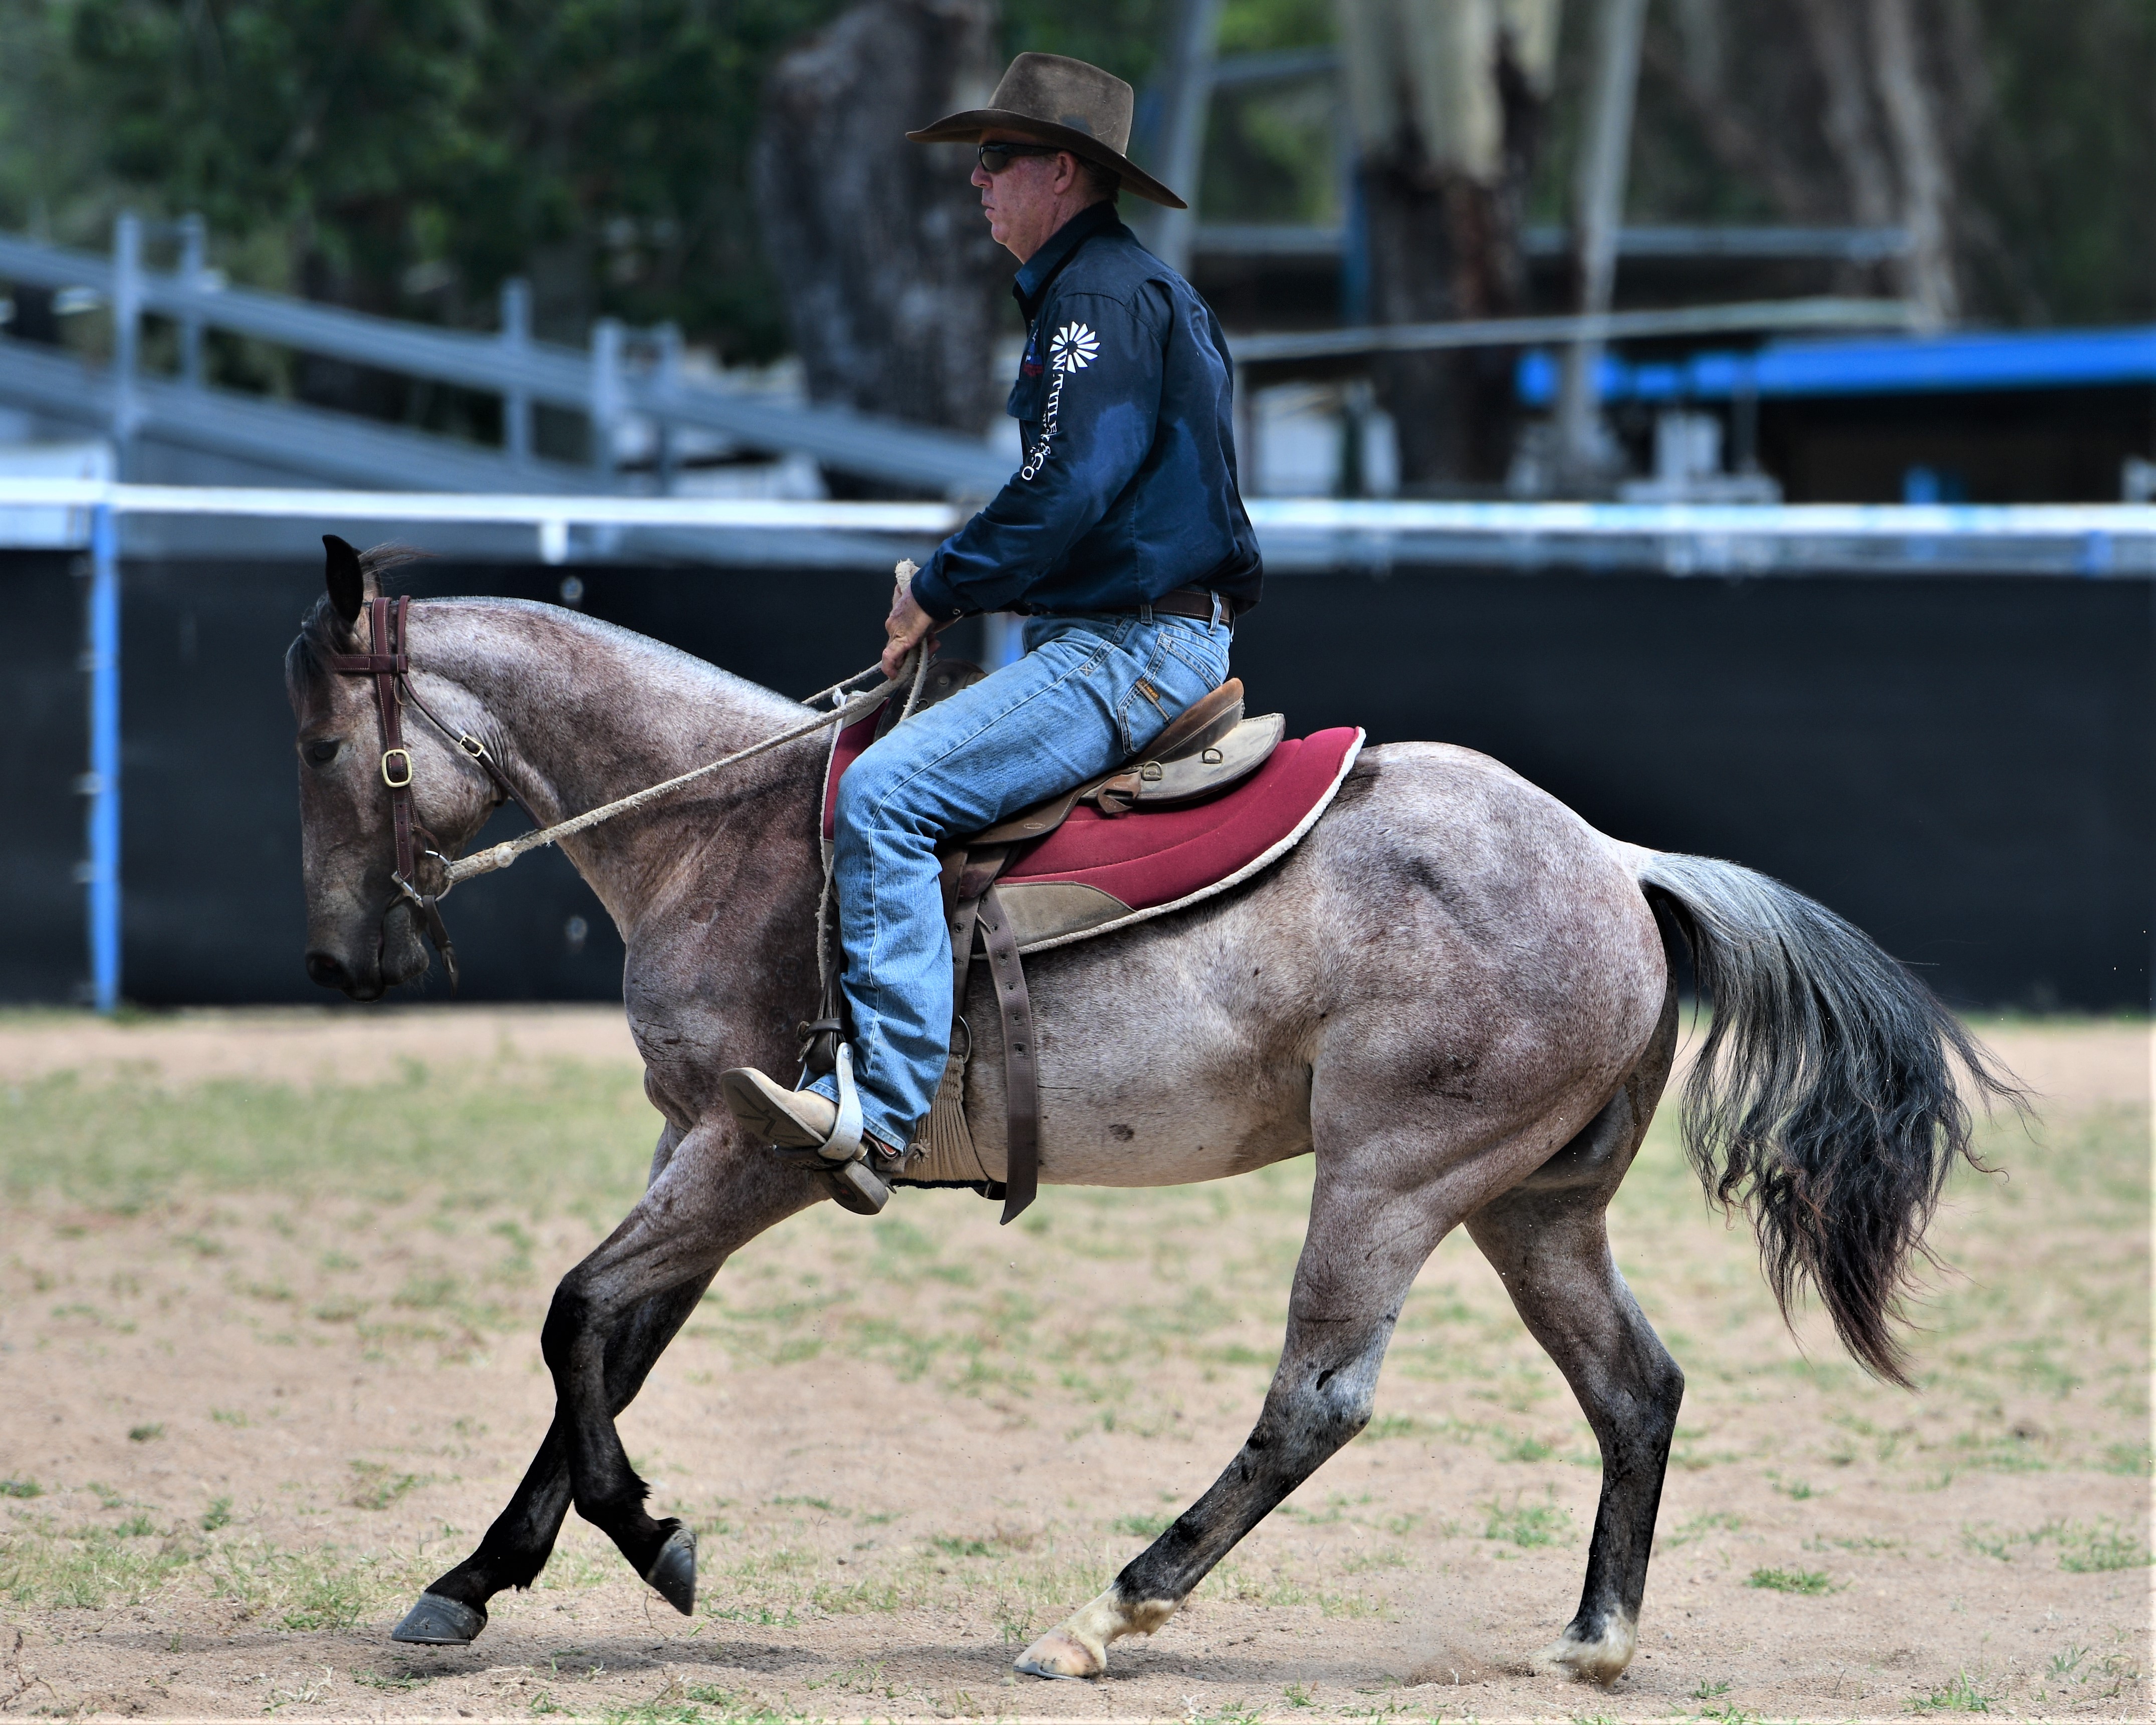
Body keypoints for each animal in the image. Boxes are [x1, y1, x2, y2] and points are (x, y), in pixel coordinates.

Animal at [285, 541, 2012, 1685]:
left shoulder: (756, 1149)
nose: (339, 959)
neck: (731, 830)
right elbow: (612, 1344)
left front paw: (651, 1542)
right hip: (1533, 1207)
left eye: (314, 742)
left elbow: (576, 1312)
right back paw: (1590, 1638)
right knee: (1634, 1388)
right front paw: (477, 1576)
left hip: (1389, 1181)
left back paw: (1104, 1610)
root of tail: (1618, 860)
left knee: (1318, 1400)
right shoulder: (694, 1144)